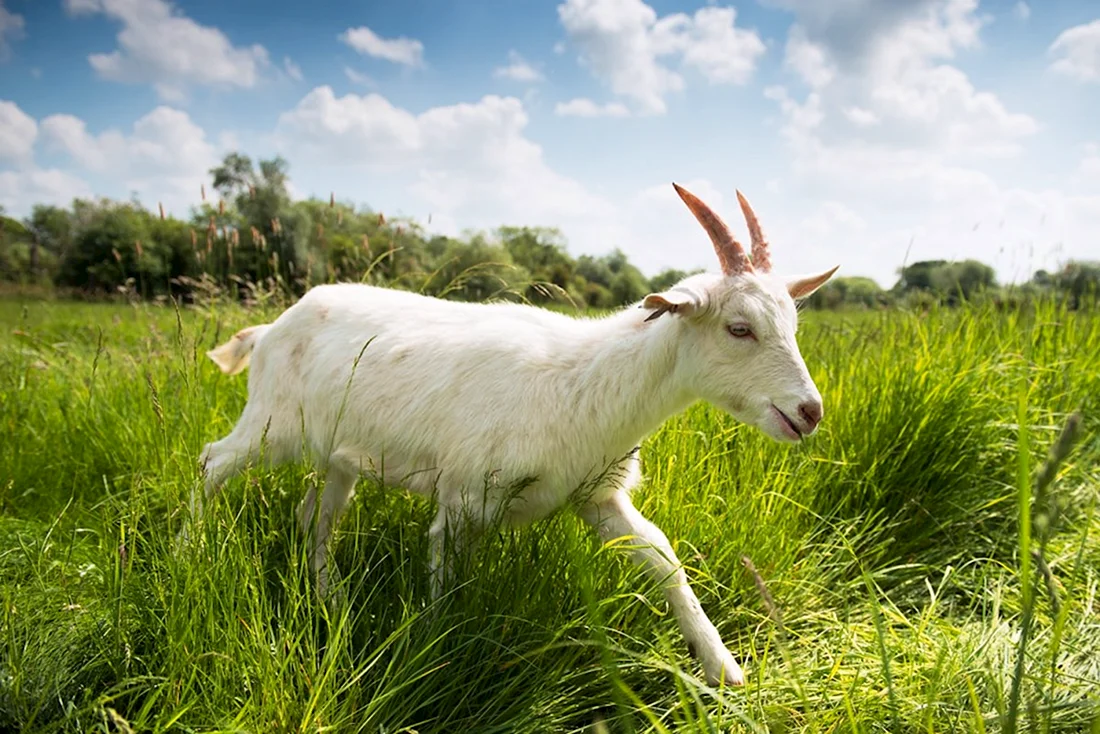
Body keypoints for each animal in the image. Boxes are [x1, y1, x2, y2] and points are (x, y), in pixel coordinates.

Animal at [193, 183, 838, 687]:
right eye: (738, 328)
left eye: (793, 323)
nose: (809, 412)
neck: (584, 381)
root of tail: (271, 328)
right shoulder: (462, 497)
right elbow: (444, 584)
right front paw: (433, 659)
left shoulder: (595, 493)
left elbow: (661, 557)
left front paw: (722, 668)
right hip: (272, 424)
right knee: (212, 463)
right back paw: (188, 552)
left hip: (338, 455)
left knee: (316, 515)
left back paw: (328, 597)